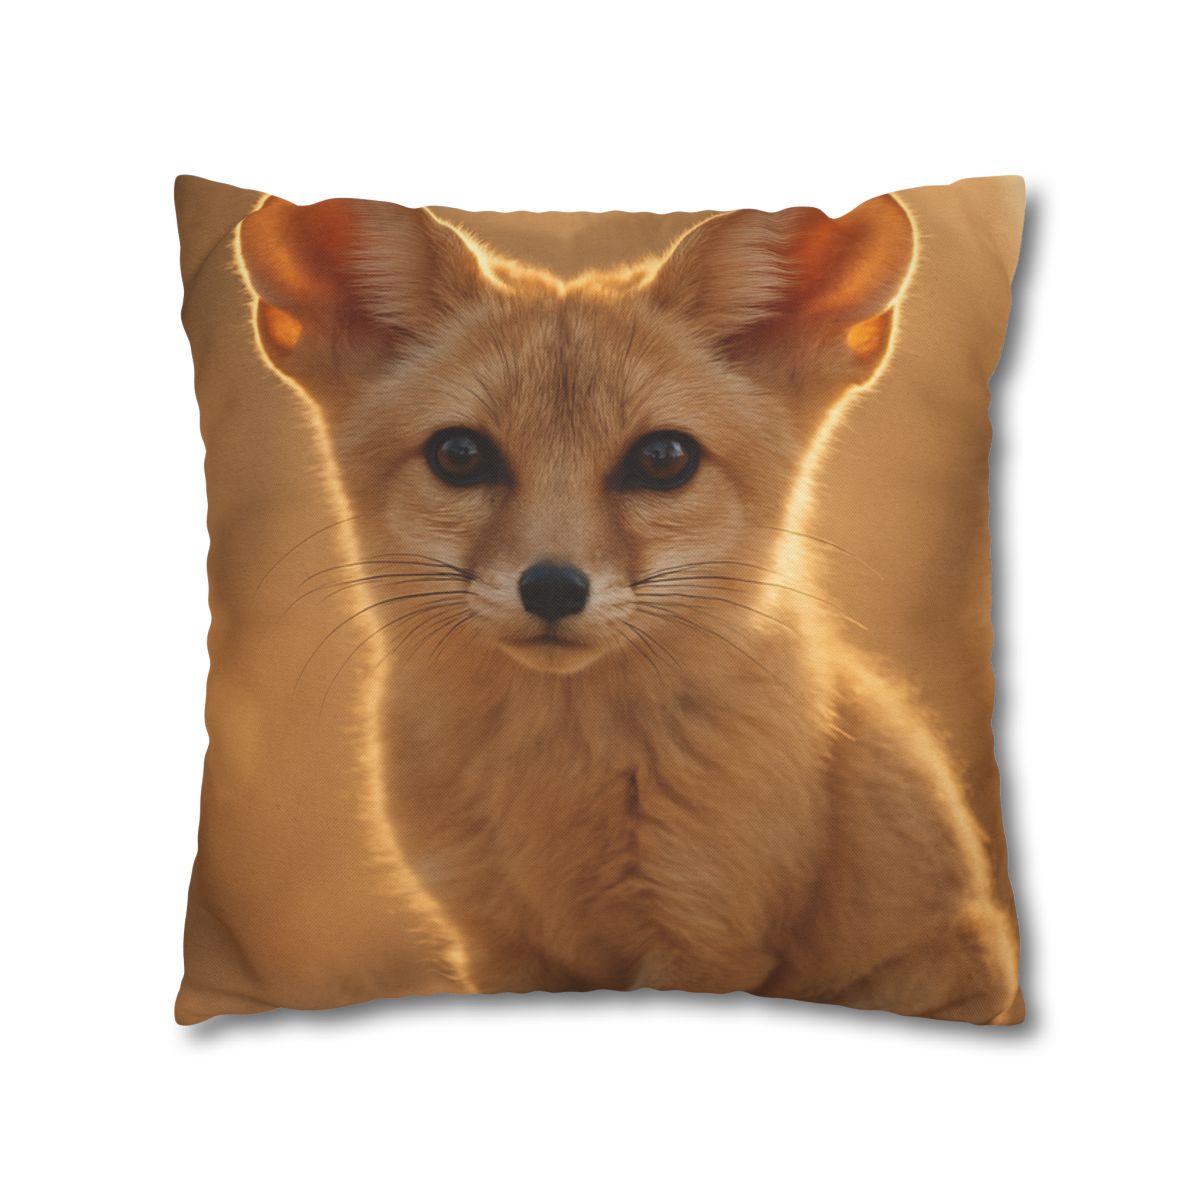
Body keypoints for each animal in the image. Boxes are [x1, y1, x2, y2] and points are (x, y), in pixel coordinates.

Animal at [236, 191, 1021, 1023]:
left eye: (663, 459)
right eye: (460, 455)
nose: (553, 587)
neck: (558, 787)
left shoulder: (704, 933)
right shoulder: (493, 941)